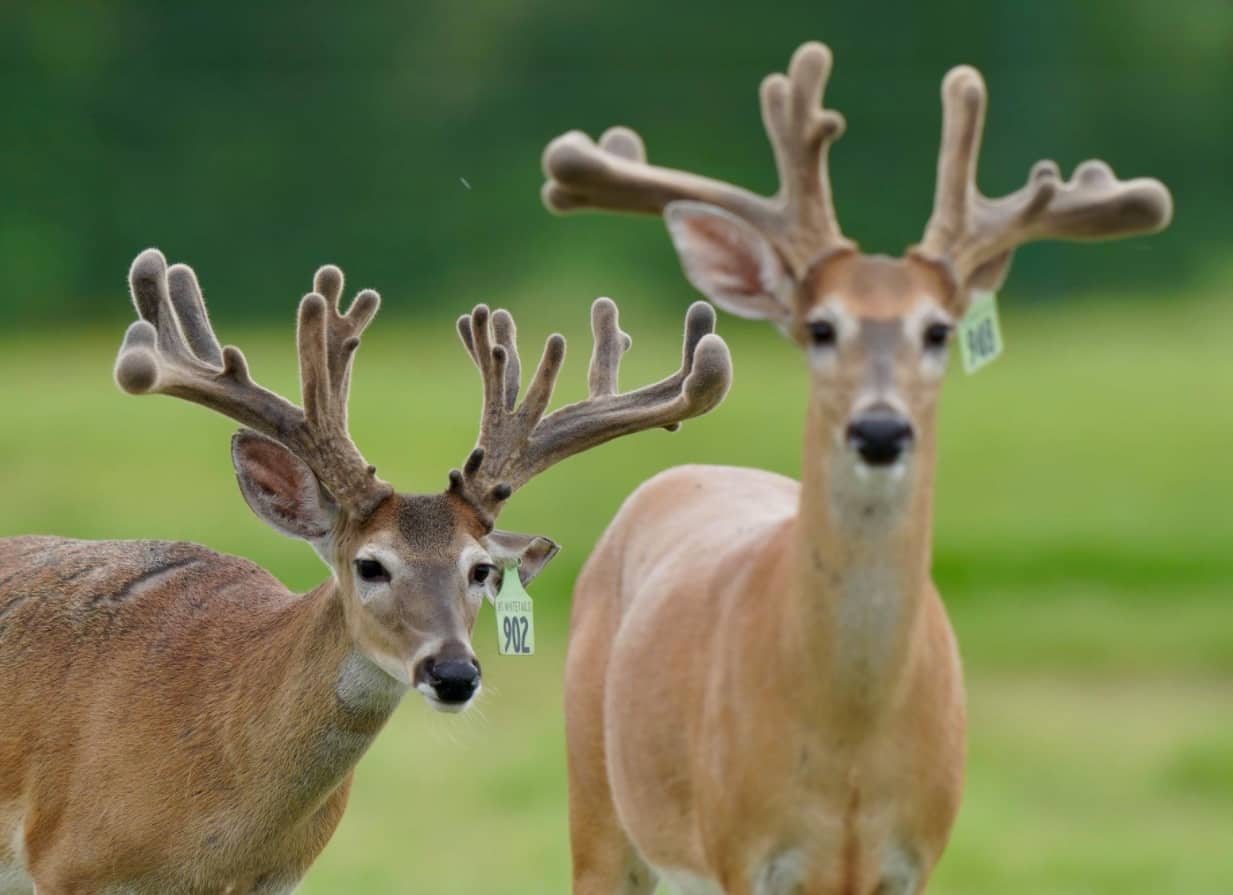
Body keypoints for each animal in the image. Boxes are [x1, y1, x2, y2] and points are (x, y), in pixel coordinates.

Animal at [540, 41, 1172, 895]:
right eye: (819, 326)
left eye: (937, 330)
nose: (879, 428)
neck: (848, 736)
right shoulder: (742, 849)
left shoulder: (913, 854)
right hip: (600, 805)